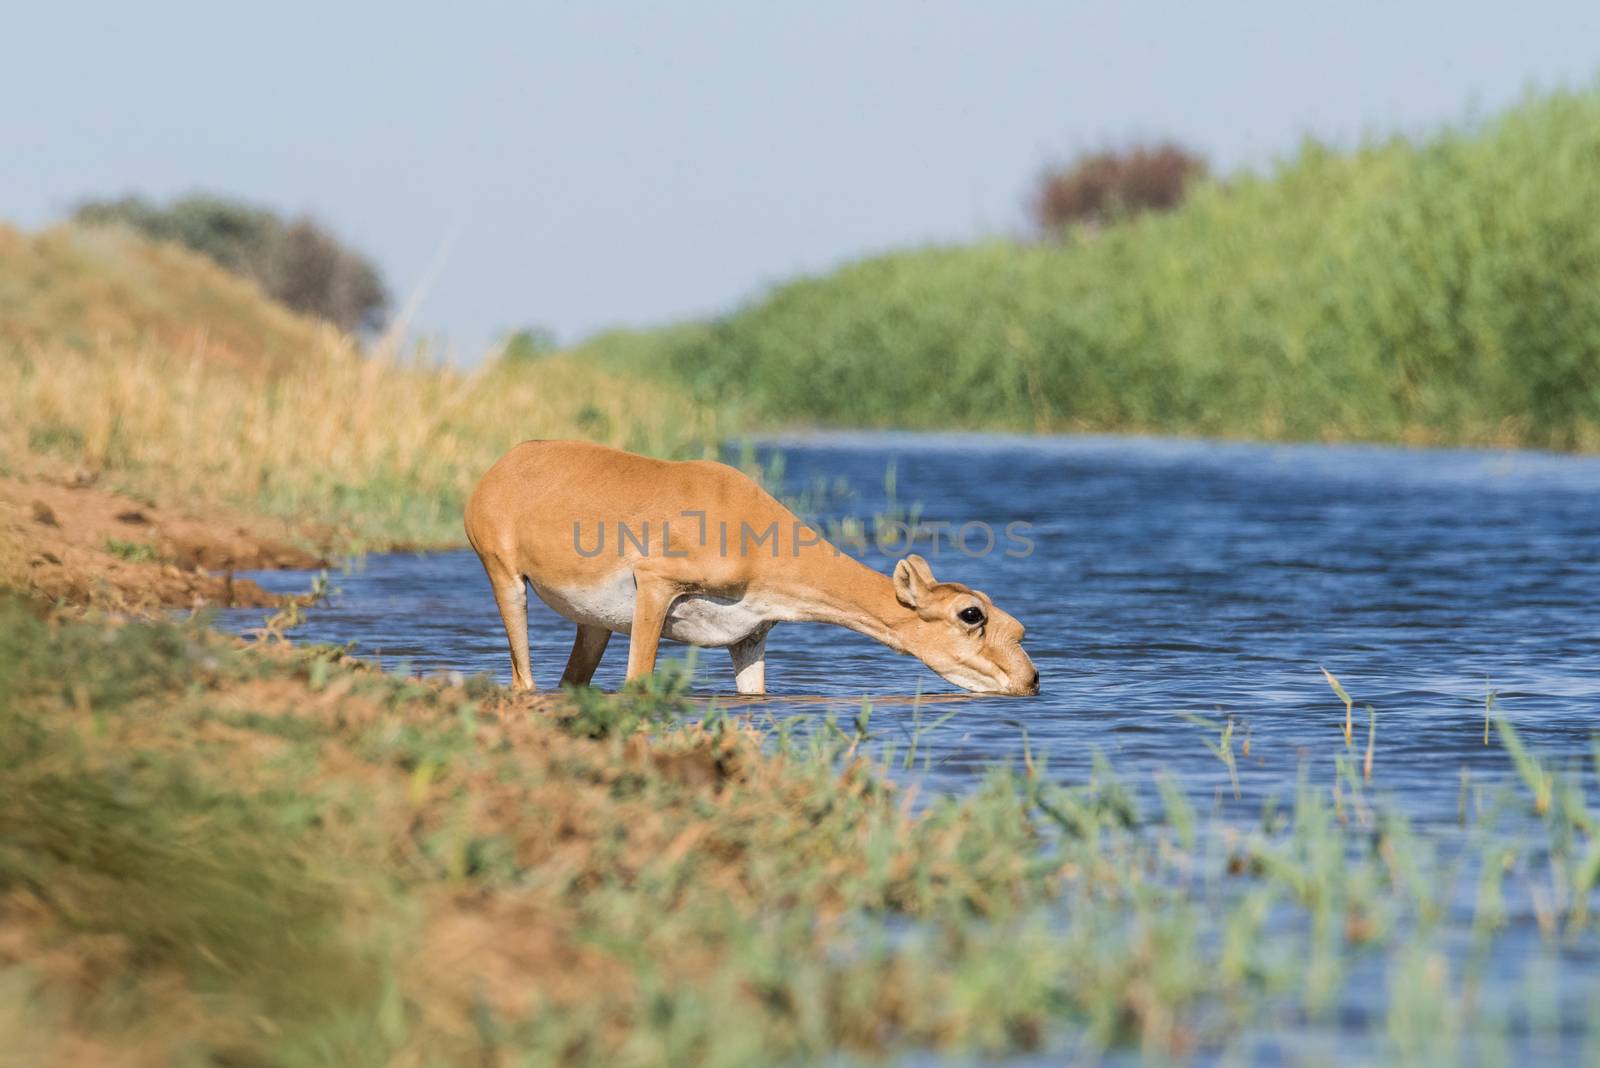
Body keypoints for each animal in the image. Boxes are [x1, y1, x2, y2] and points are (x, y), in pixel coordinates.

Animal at [467, 438, 1036, 697]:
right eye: (971, 614)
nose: (1030, 679)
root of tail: (497, 469)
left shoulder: (750, 637)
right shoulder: (656, 585)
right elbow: (637, 680)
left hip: (595, 626)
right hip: (506, 579)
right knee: (523, 678)